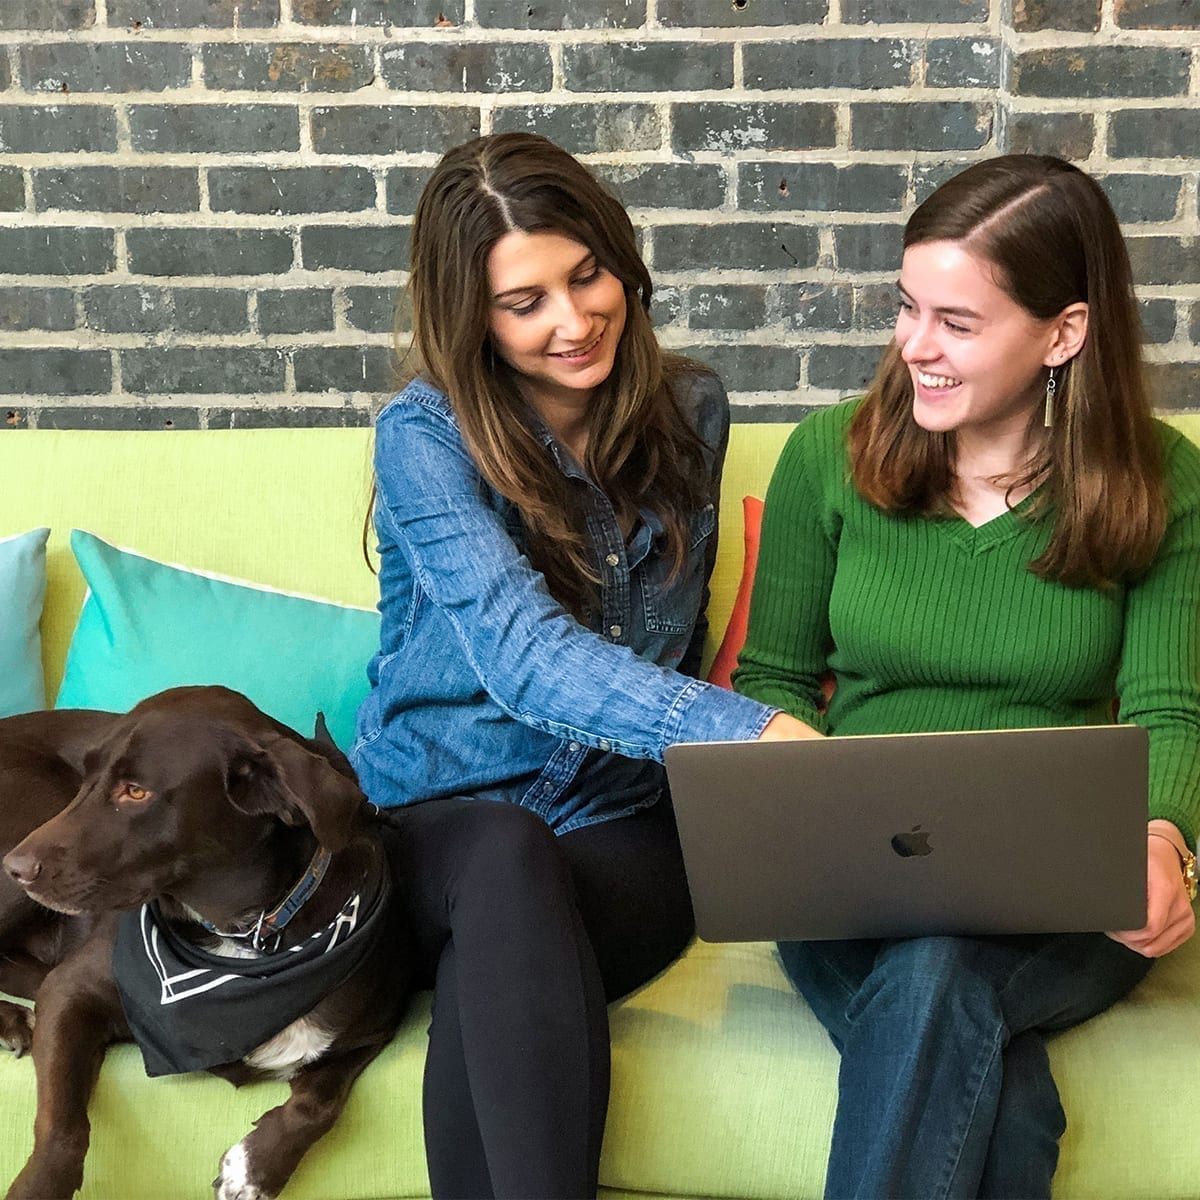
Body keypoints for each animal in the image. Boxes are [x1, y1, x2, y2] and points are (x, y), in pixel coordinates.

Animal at [0, 686, 410, 1200]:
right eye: (86, 777)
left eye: (136, 792)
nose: (14, 866)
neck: (243, 937)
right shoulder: (69, 993)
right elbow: (61, 1126)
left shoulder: (371, 1033)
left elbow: (318, 1104)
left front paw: (255, 1168)